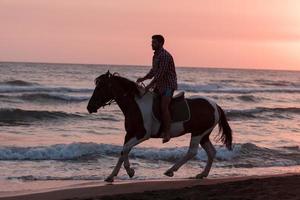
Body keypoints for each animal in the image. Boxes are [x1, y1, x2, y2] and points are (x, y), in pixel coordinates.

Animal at [86, 71, 232, 182]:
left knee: (192, 152)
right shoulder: (130, 133)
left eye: (100, 87)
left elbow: (126, 149)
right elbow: (123, 151)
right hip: (204, 135)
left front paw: (130, 171)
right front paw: (112, 176)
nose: (89, 107)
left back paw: (170, 170)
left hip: (198, 133)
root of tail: (215, 106)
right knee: (211, 152)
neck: (136, 105)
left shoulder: (142, 134)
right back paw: (202, 174)